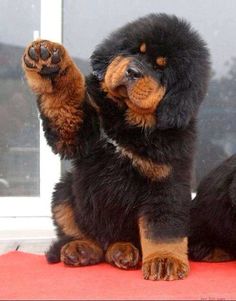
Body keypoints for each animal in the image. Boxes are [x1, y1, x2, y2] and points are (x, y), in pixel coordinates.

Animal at [22, 14, 210, 280]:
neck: (128, 120)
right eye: (135, 51)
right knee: (81, 232)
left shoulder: (166, 182)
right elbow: (64, 101)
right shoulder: (78, 133)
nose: (133, 71)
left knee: (116, 242)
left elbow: (163, 229)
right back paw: (82, 249)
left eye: (161, 68)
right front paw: (49, 63)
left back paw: (123, 251)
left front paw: (164, 260)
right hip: (65, 191)